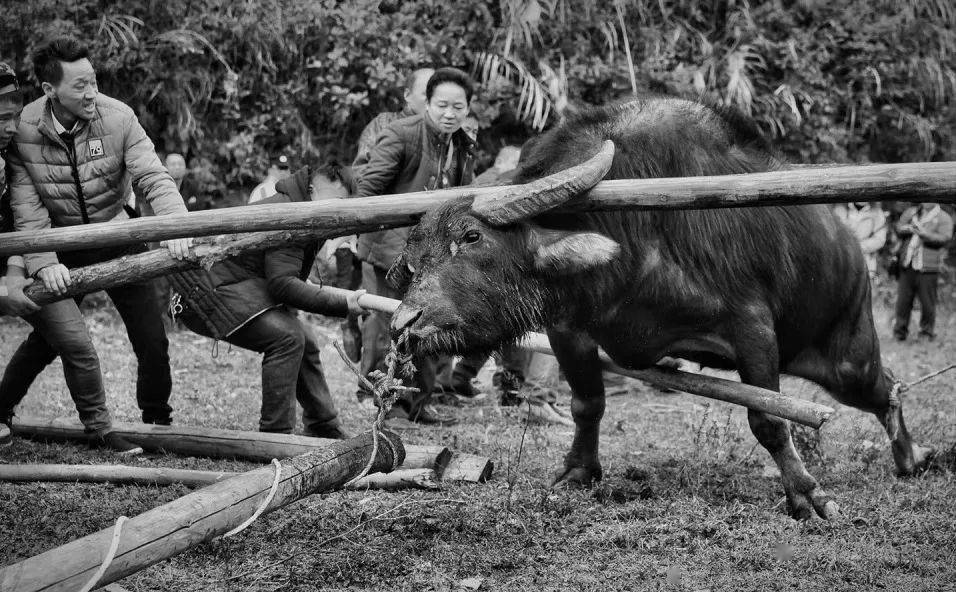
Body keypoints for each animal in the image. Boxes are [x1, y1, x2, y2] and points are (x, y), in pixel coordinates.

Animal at [388, 97, 932, 520]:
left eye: (471, 237)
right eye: (414, 256)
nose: (404, 323)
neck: (635, 237)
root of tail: (853, 250)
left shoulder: (753, 330)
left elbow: (769, 421)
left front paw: (807, 496)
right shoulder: (569, 329)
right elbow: (587, 404)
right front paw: (578, 471)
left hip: (847, 356)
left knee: (886, 389)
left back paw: (910, 458)